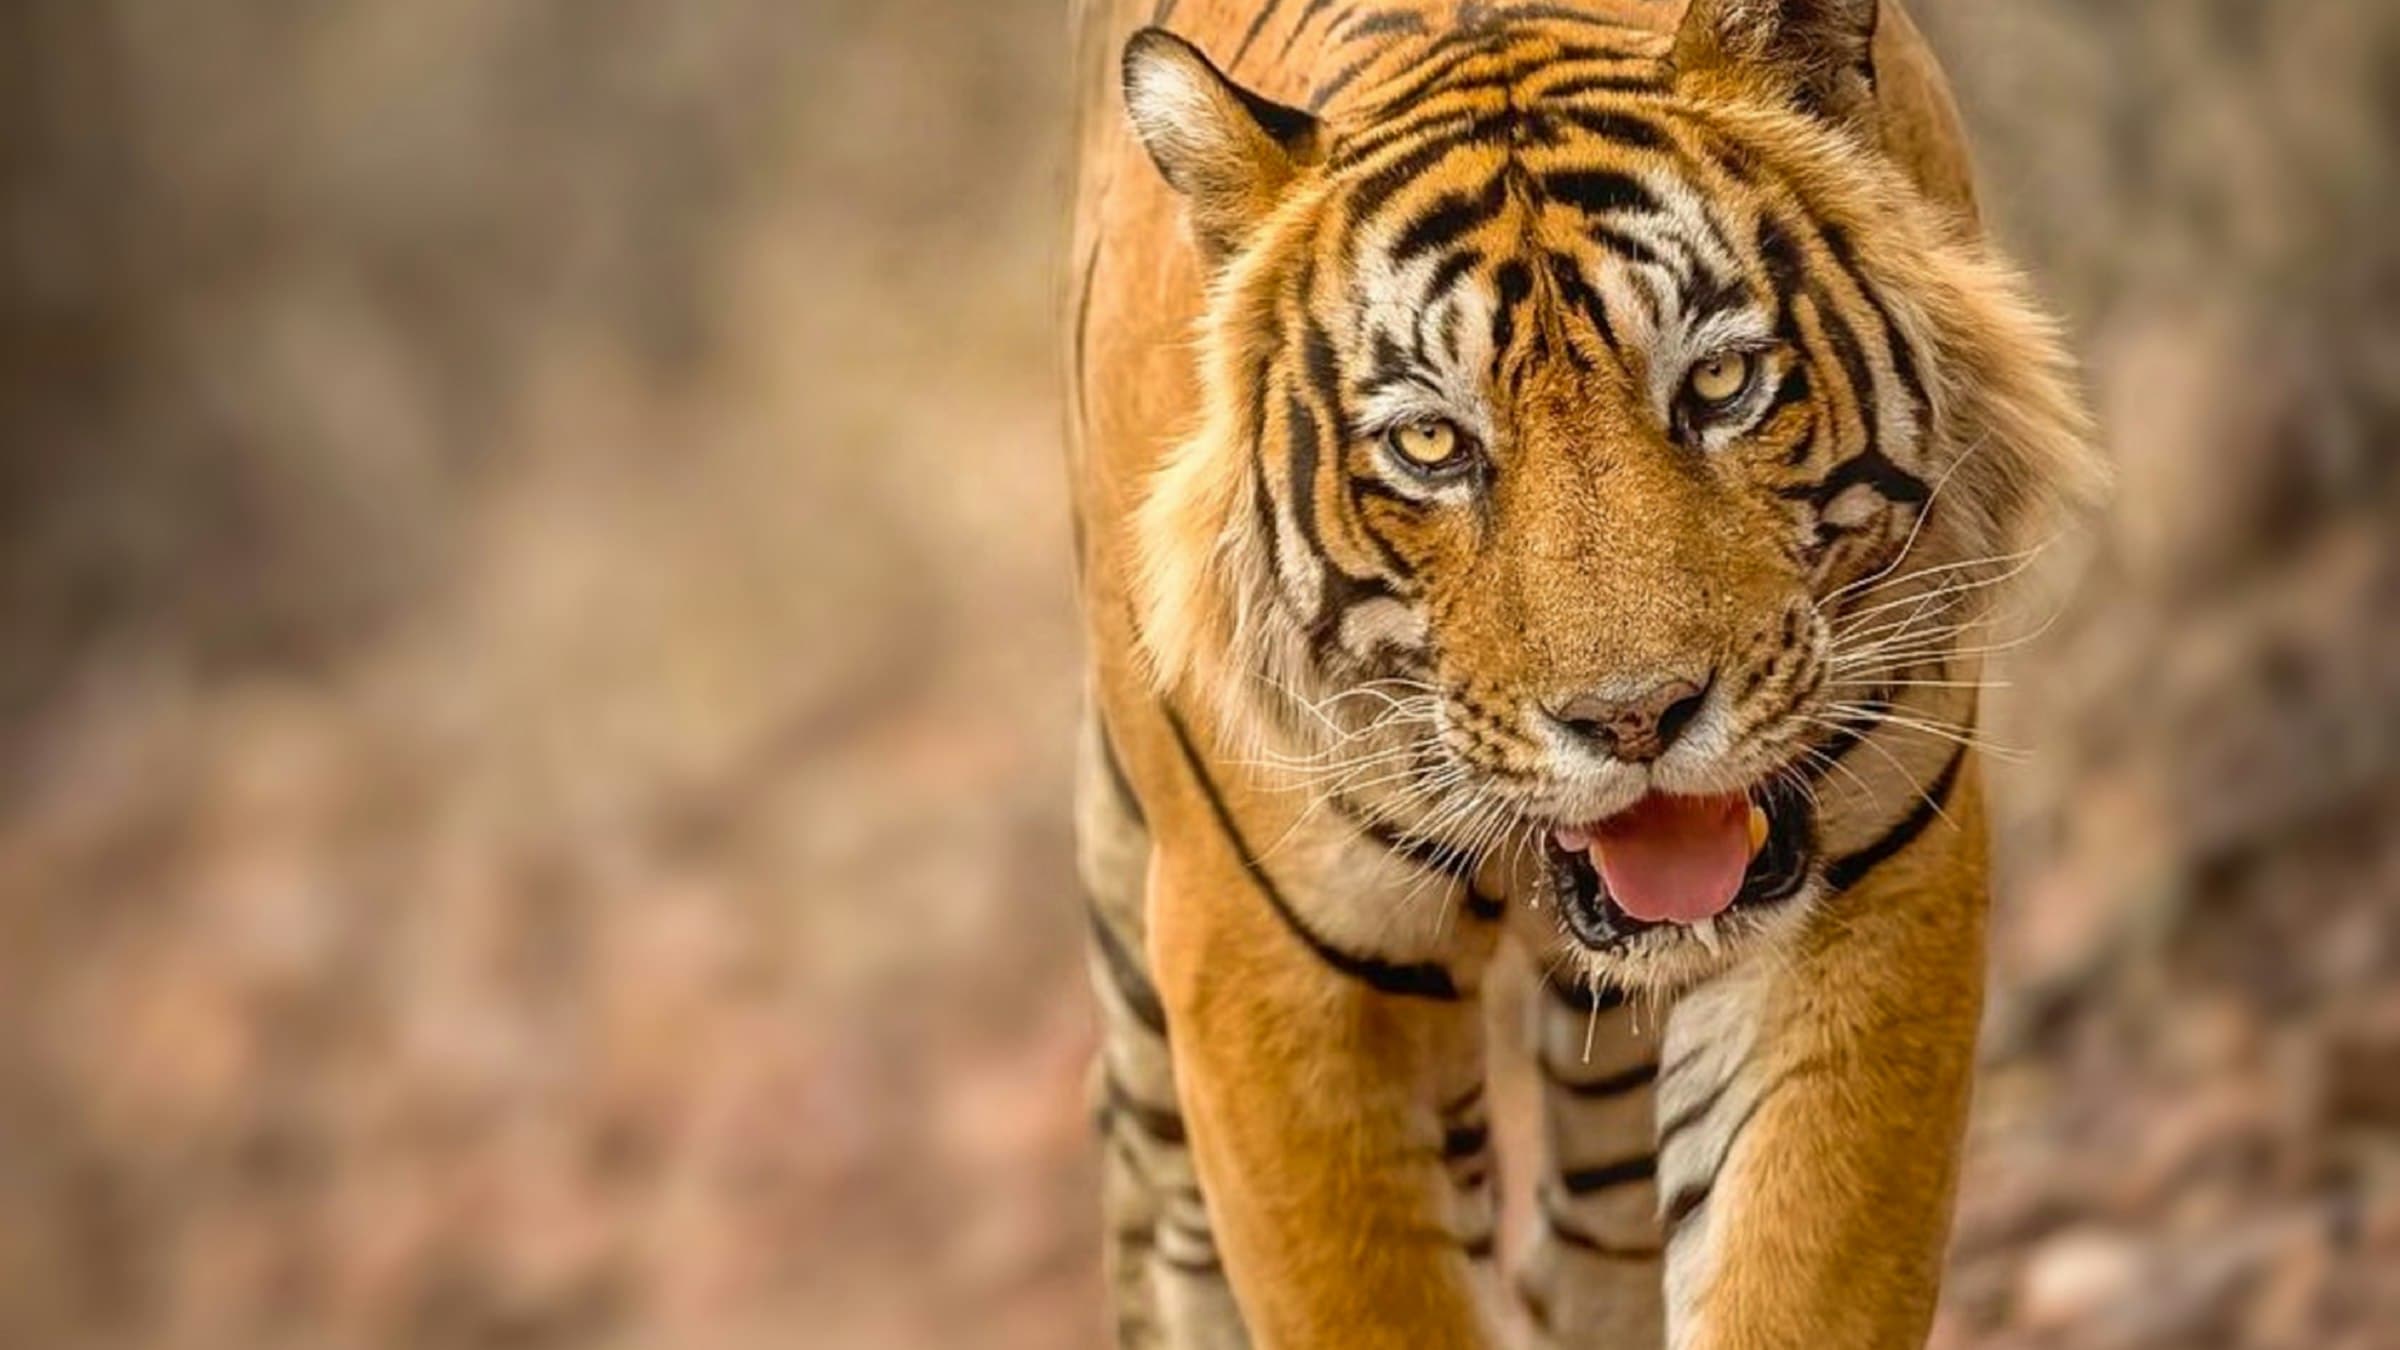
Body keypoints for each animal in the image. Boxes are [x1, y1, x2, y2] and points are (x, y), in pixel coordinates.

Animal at [1064, 1, 2101, 1346]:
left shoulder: (1874, 869)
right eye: (1432, 443)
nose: (1635, 719)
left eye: (1719, 382)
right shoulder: (1272, 963)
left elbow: (1795, 1267)